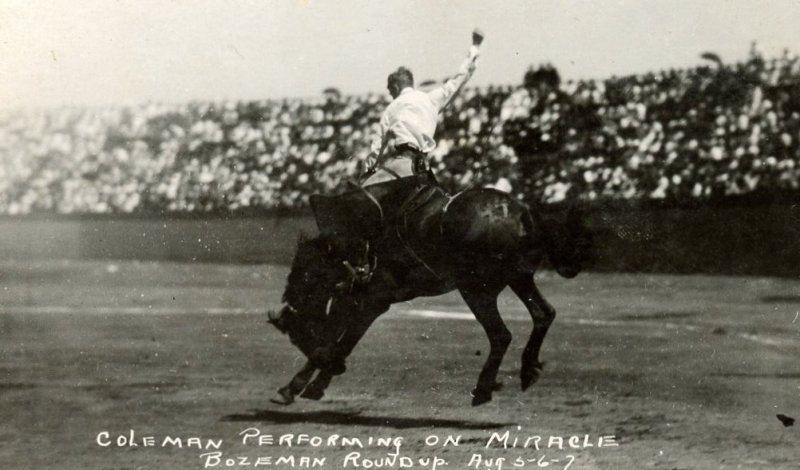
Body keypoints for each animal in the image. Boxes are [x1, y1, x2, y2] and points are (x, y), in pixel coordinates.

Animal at [266, 173, 592, 404]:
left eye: (297, 335)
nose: (335, 368)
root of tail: (523, 212)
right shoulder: (371, 301)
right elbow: (345, 339)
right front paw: (317, 383)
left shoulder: (366, 297)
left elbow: (335, 337)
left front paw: (295, 386)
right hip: (518, 278)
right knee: (543, 314)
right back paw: (527, 370)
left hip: (477, 289)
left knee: (501, 334)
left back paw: (483, 389)